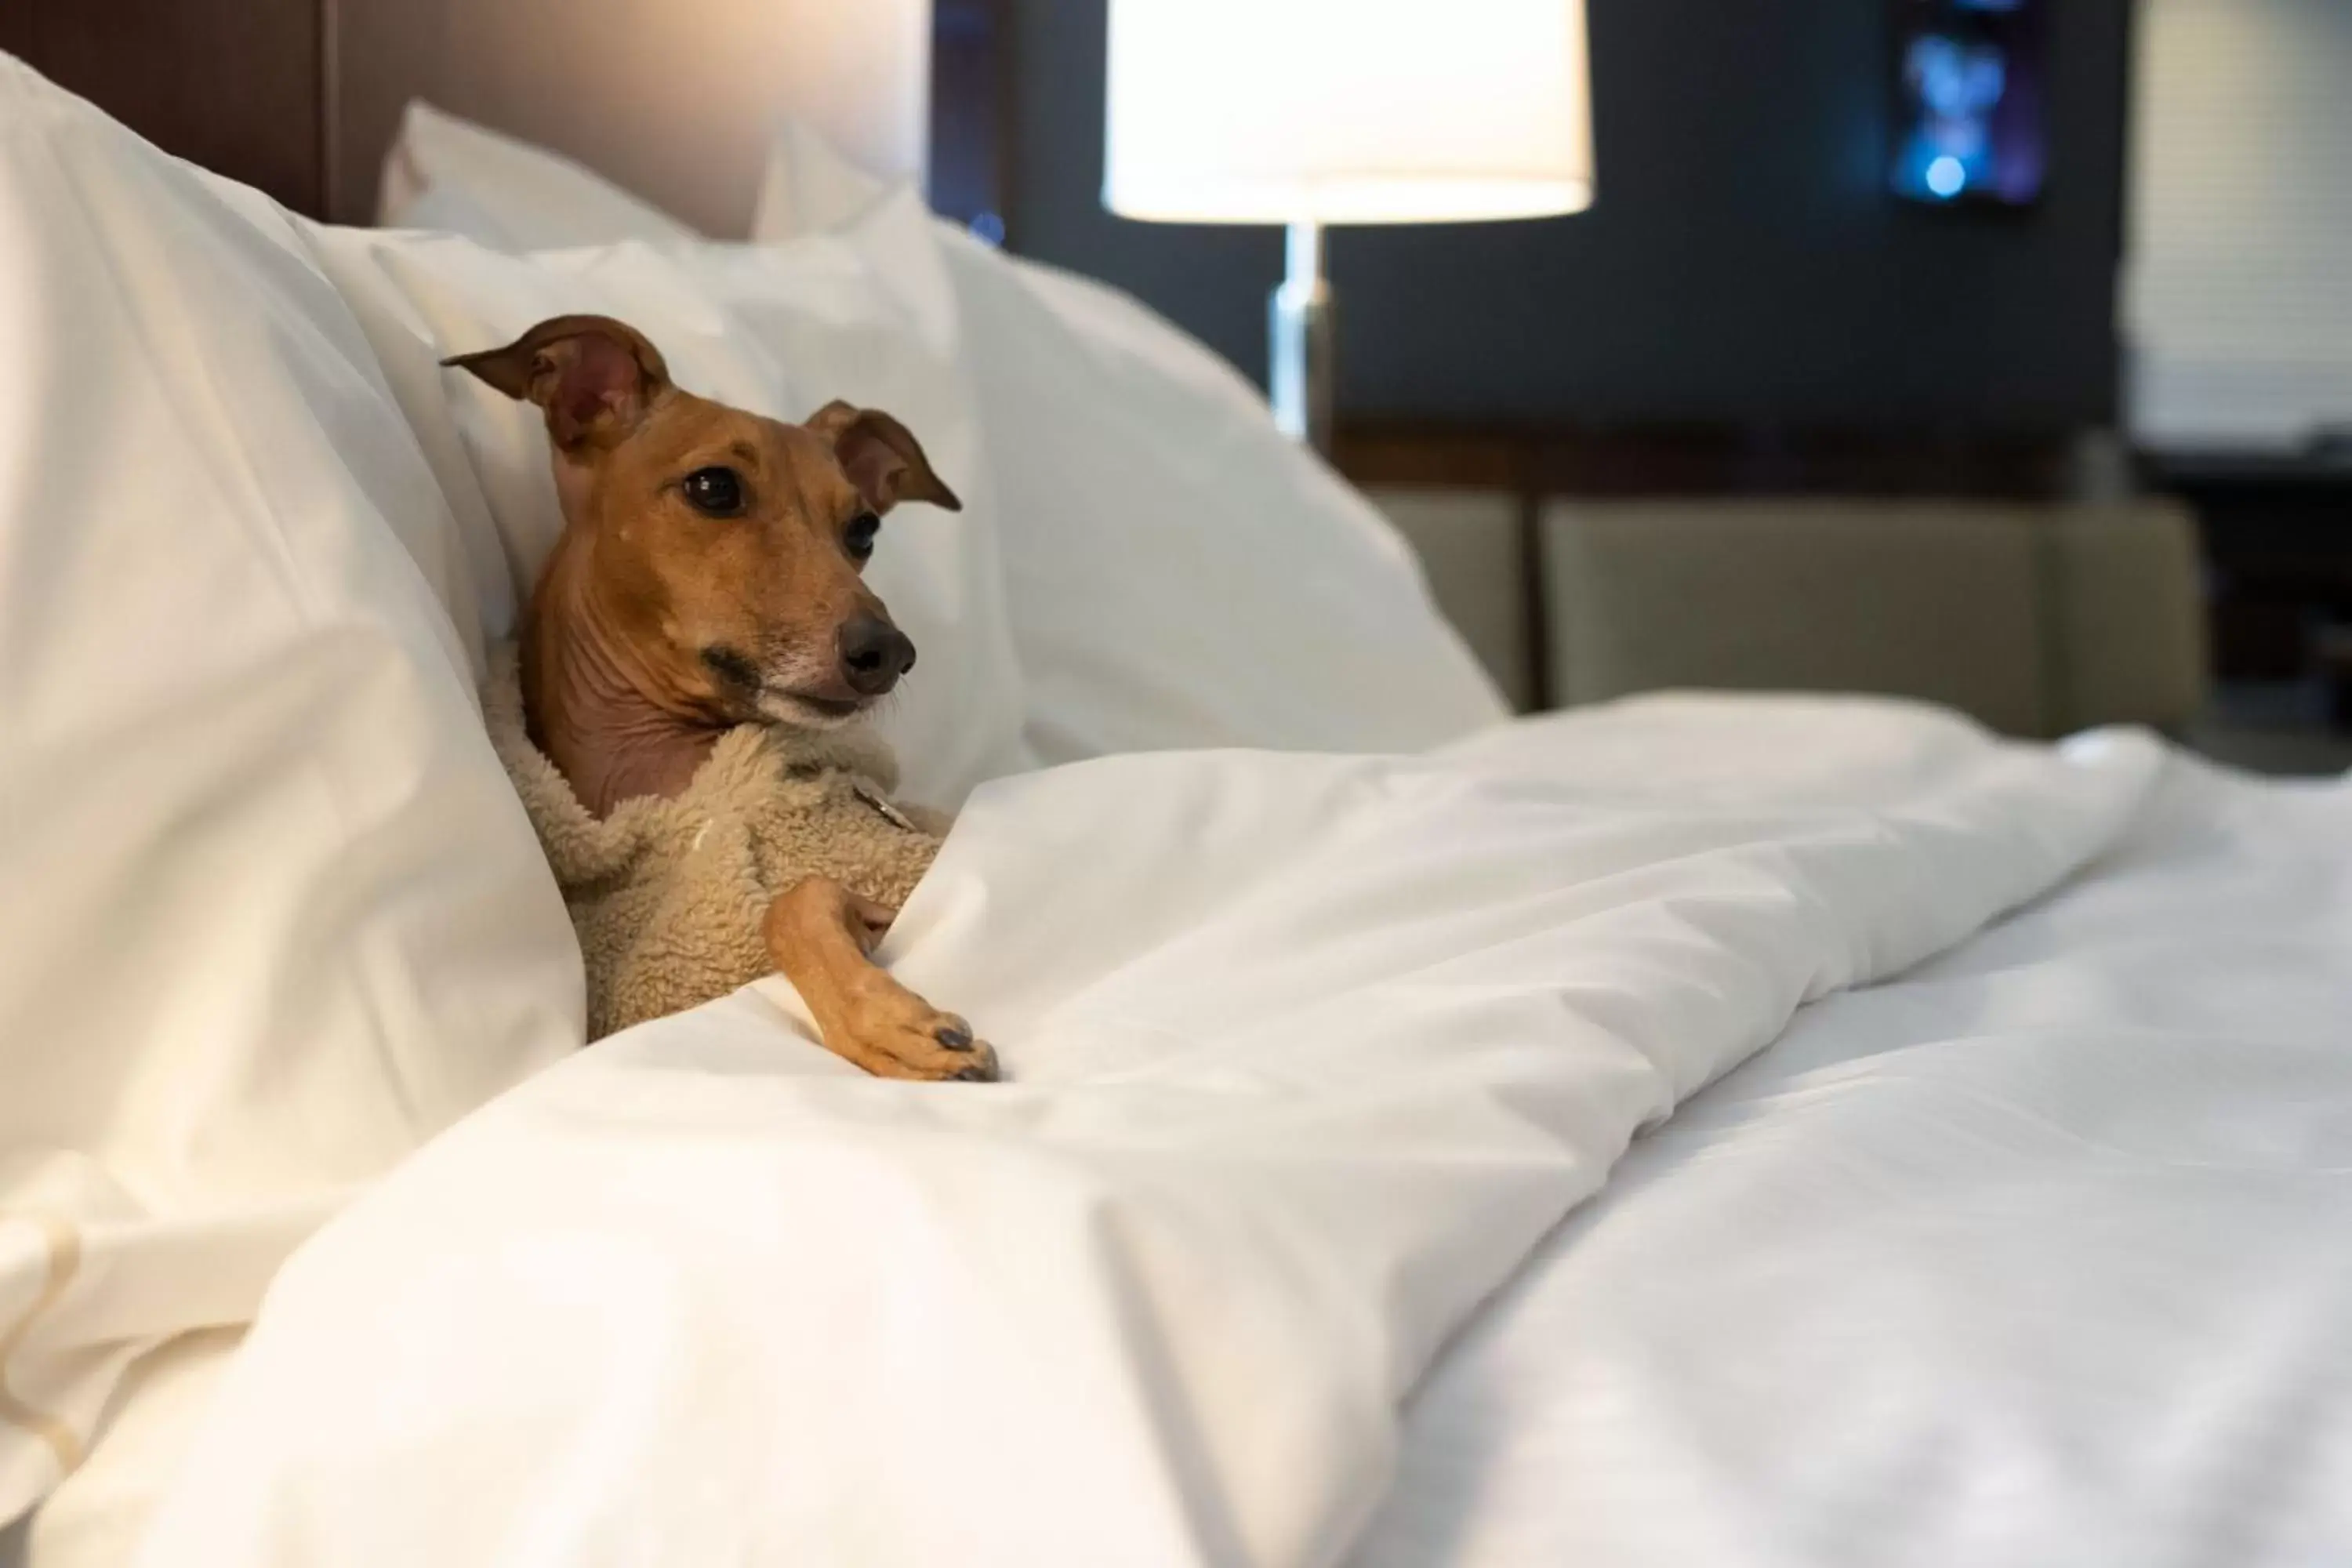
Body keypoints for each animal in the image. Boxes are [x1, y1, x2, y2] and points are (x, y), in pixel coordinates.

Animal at [449, 314, 993, 1081]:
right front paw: (893, 1025)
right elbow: (791, 901)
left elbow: (799, 898)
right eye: (713, 487)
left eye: (863, 529)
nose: (888, 653)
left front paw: (892, 1023)